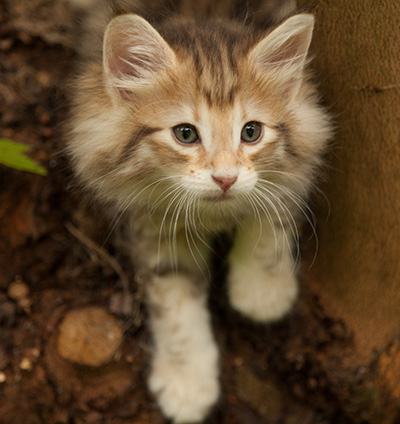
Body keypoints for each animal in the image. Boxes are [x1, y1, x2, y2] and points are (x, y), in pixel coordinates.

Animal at [68, 1, 332, 422]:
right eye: (186, 134)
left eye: (251, 132)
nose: (225, 178)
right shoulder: (150, 221)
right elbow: (173, 303)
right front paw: (187, 381)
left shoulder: (308, 134)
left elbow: (272, 207)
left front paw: (263, 290)